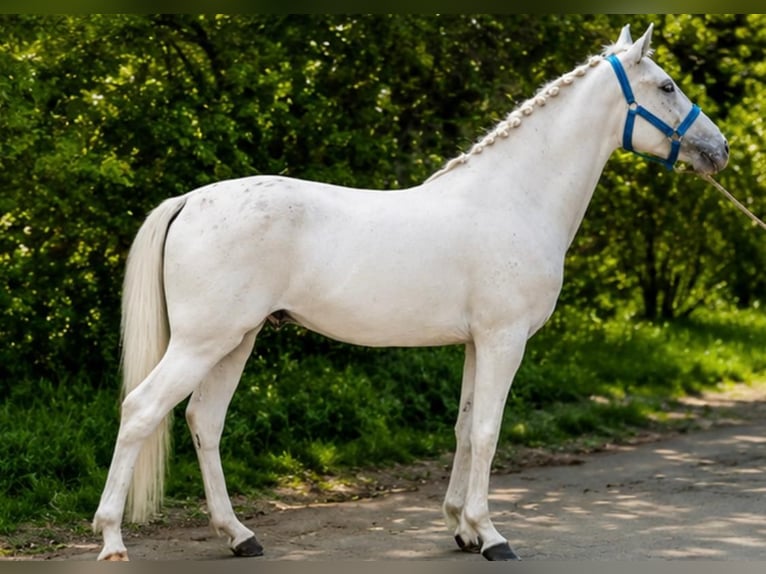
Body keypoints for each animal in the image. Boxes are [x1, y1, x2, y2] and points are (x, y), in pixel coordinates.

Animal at [92, 23, 729, 561]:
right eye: (667, 86)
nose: (719, 149)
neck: (515, 197)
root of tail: (189, 200)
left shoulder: (476, 343)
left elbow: (465, 429)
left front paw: (463, 530)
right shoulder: (504, 340)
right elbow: (488, 432)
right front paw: (492, 536)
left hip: (236, 340)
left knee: (205, 421)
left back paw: (239, 535)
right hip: (204, 340)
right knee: (142, 410)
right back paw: (113, 540)